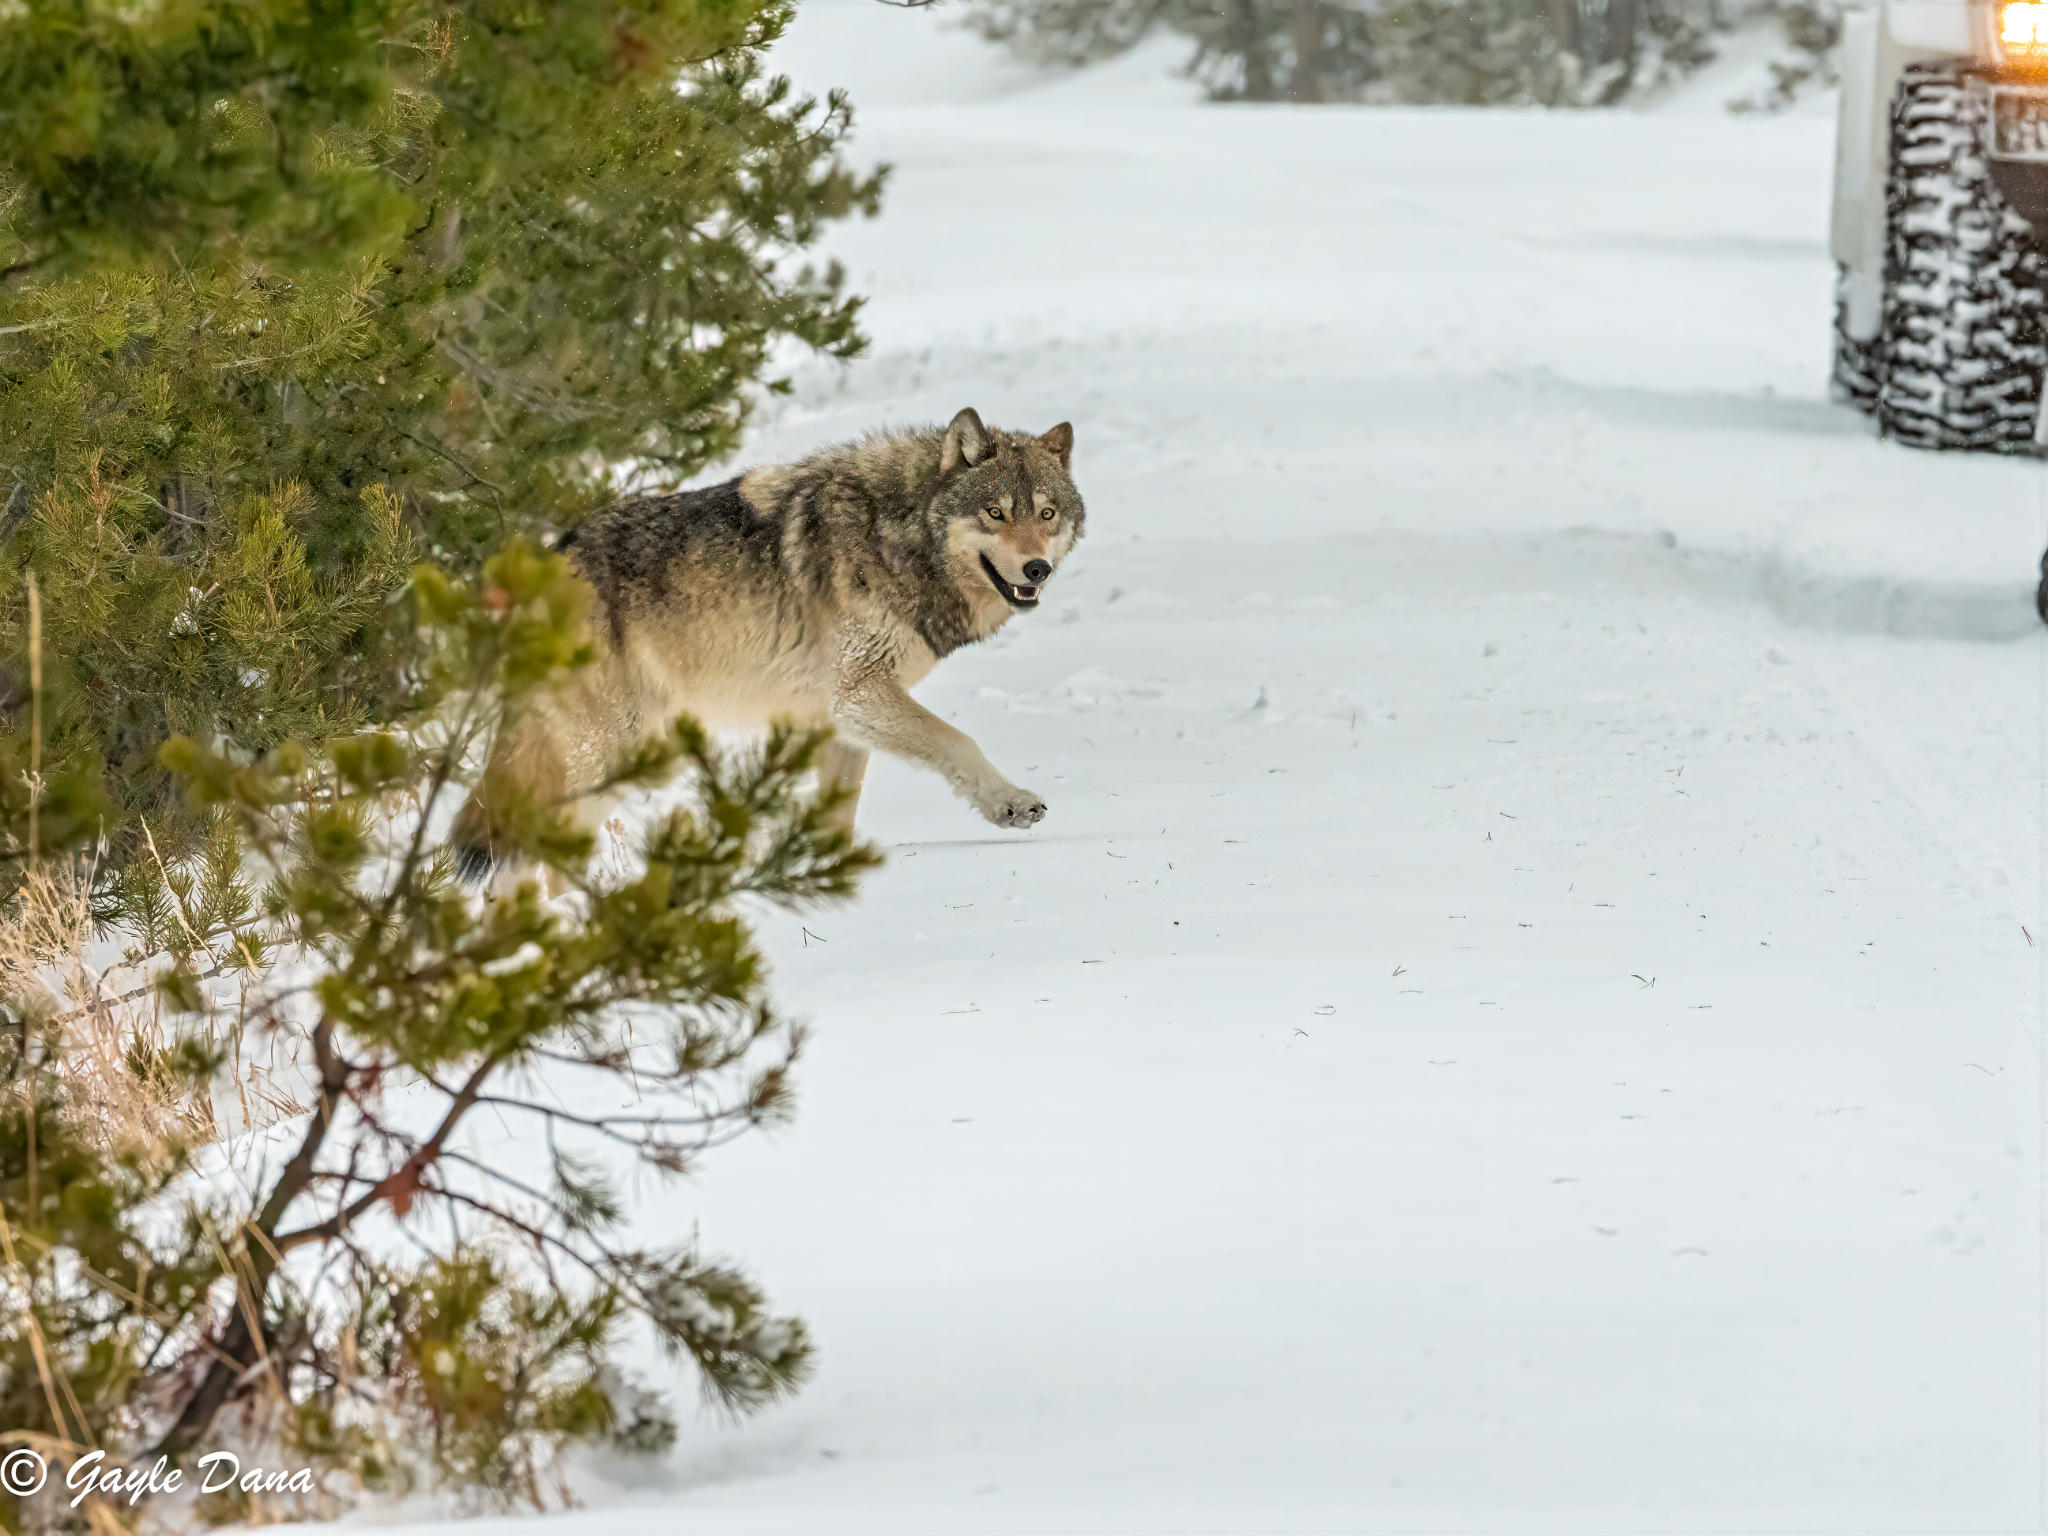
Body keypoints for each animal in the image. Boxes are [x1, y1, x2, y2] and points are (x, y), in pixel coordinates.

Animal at [453, 407, 1085, 877]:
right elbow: (959, 741)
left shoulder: (842, 718)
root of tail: (544, 561)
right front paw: (1010, 803)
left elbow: (836, 817)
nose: (1036, 569)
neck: (893, 536)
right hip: (607, 749)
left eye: (1047, 514)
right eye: (995, 512)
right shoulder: (858, 694)